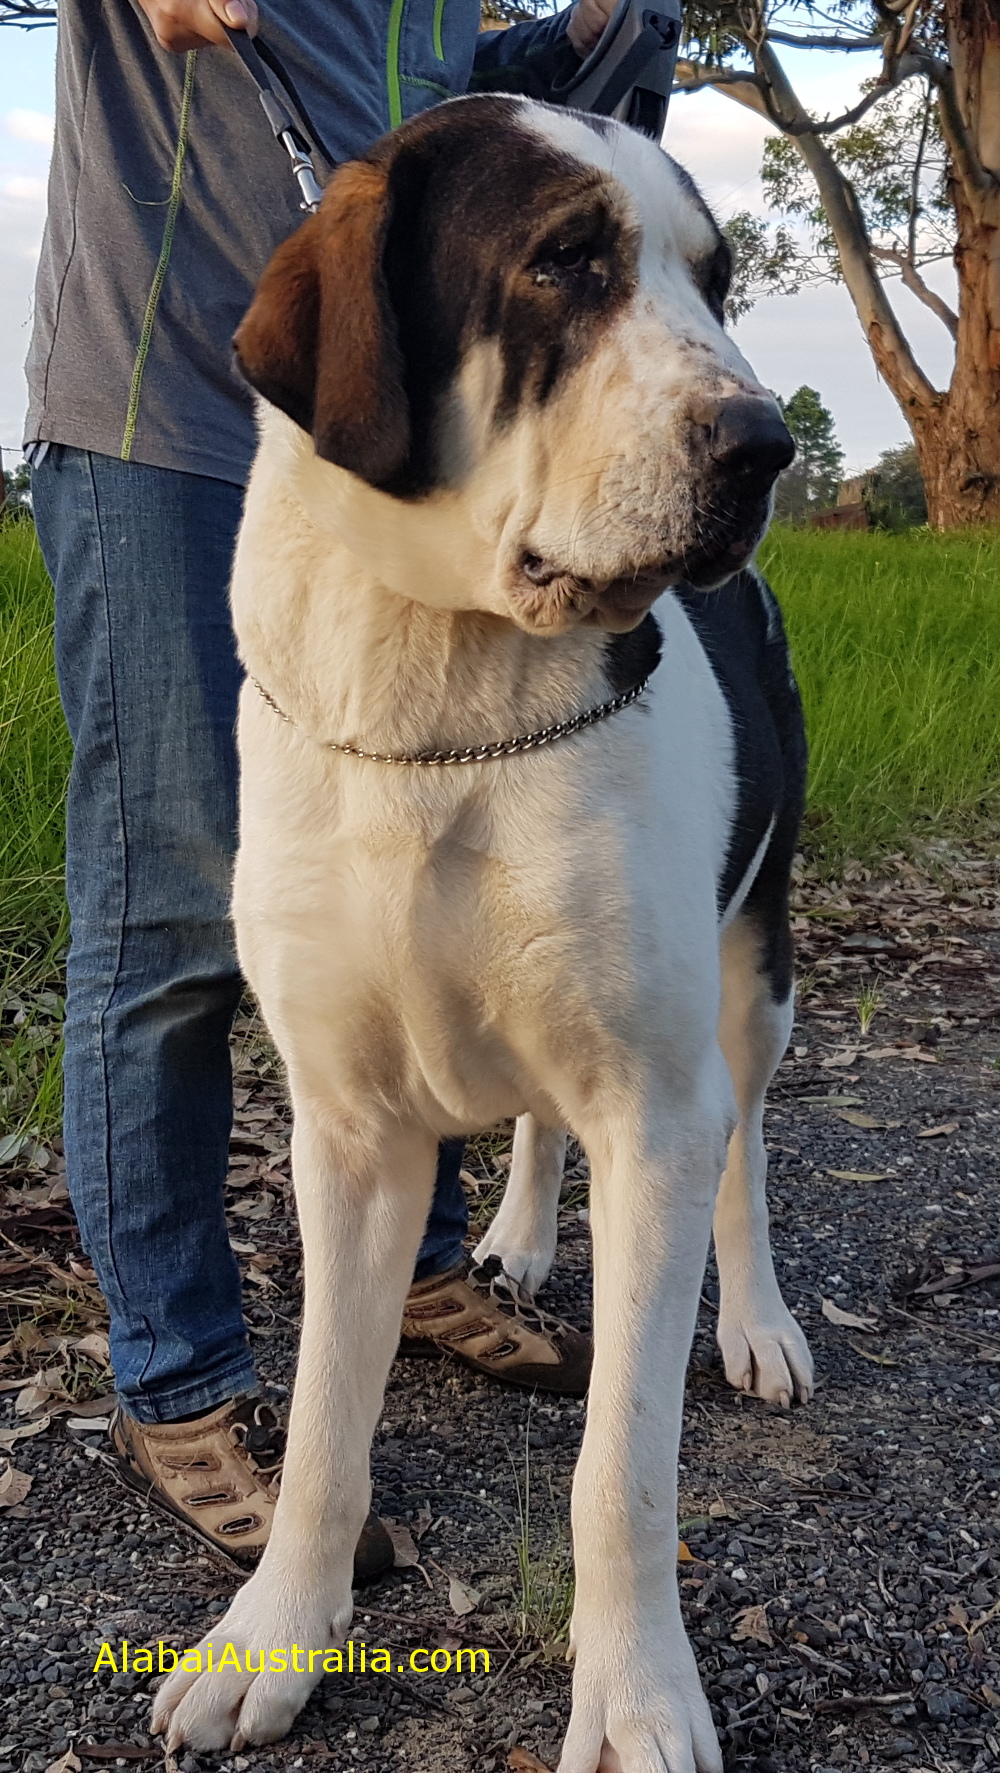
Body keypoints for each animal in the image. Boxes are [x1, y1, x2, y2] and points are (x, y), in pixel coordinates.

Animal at [154, 97, 812, 1773]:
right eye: (564, 261)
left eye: (716, 280)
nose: (767, 446)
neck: (442, 690)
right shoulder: (345, 1130)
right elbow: (325, 1425)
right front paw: (273, 1635)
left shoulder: (653, 1107)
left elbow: (621, 1470)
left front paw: (635, 1700)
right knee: (530, 1117)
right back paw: (513, 1237)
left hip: (752, 983)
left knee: (745, 1149)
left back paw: (761, 1321)